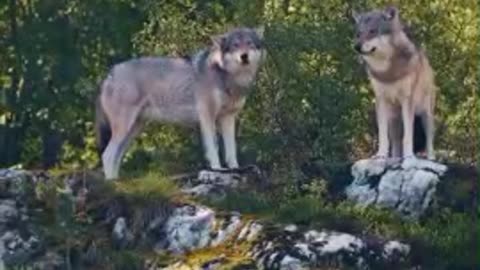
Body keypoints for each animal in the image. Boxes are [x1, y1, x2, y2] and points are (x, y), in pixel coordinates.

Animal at [95, 26, 264, 179]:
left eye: (249, 43)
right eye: (235, 45)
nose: (244, 56)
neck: (226, 76)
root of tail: (110, 74)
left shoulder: (228, 118)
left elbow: (231, 150)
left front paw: (236, 169)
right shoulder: (207, 117)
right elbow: (214, 148)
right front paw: (217, 170)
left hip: (133, 130)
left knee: (116, 157)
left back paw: (117, 181)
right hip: (124, 128)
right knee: (107, 155)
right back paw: (112, 183)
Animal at [350, 5, 436, 160]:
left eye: (372, 31)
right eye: (358, 34)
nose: (356, 47)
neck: (388, 72)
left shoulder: (407, 101)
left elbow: (408, 137)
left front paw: (409, 157)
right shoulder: (381, 100)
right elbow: (383, 136)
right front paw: (380, 155)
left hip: (426, 115)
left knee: (429, 140)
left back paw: (431, 158)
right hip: (394, 119)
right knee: (396, 142)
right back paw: (395, 158)